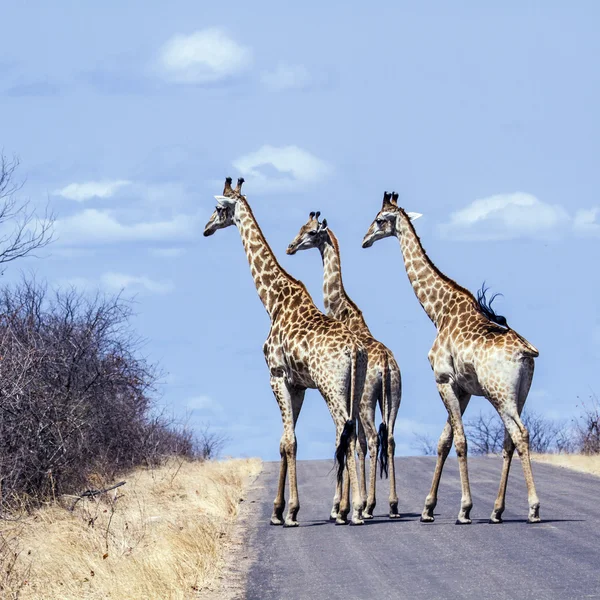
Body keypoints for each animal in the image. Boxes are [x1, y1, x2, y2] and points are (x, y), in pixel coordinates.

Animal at [204, 176, 368, 524]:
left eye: (219, 208)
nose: (206, 228)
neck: (272, 301)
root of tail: (354, 350)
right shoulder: (298, 385)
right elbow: (284, 441)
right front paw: (277, 511)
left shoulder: (276, 375)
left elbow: (290, 442)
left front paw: (290, 511)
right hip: (356, 387)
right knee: (353, 436)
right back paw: (353, 508)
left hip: (332, 388)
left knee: (344, 434)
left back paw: (355, 510)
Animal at [288, 212, 400, 520]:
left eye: (311, 232)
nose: (290, 247)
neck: (343, 312)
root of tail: (387, 364)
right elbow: (356, 444)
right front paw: (349, 505)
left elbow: (350, 440)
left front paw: (342, 507)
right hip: (393, 397)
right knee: (388, 439)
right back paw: (392, 505)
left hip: (365, 401)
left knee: (372, 439)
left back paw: (370, 506)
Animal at [364, 192, 540, 524]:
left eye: (379, 220)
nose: (365, 239)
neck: (439, 312)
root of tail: (527, 352)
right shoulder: (463, 388)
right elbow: (444, 441)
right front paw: (427, 508)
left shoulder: (443, 379)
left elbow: (459, 441)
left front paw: (464, 509)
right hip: (521, 393)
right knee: (510, 440)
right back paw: (497, 511)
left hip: (500, 394)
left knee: (520, 434)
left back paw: (534, 508)